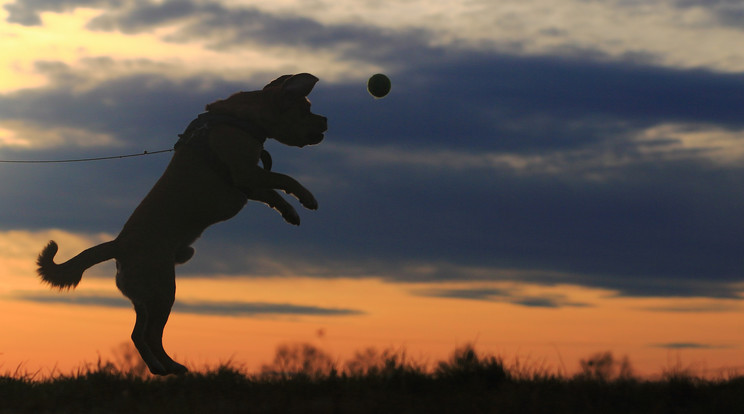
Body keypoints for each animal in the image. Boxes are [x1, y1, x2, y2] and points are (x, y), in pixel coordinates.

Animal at [35, 74, 326, 376]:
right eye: (305, 109)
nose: (326, 121)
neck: (240, 118)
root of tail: (119, 244)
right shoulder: (247, 173)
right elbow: (285, 179)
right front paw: (307, 198)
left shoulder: (250, 184)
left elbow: (274, 195)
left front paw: (290, 212)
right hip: (163, 291)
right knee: (150, 335)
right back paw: (170, 366)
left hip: (145, 298)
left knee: (138, 334)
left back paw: (162, 367)